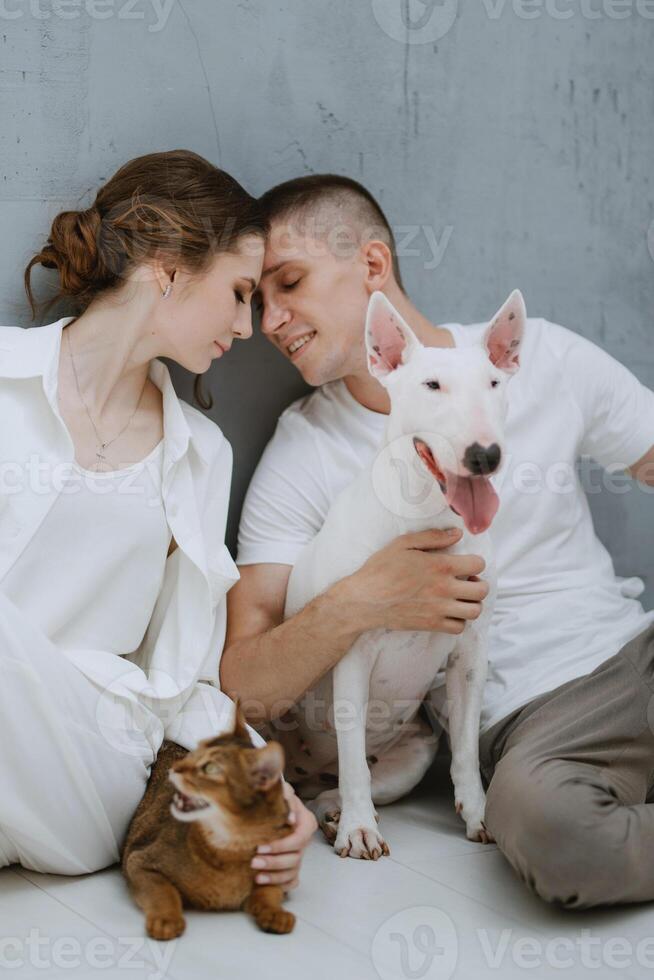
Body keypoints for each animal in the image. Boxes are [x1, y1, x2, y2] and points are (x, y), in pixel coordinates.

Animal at [121, 700, 296, 936]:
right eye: (195, 753)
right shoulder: (139, 860)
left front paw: (275, 914)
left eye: (210, 768)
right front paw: (166, 919)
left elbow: (268, 891)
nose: (175, 768)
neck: (231, 847)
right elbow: (164, 892)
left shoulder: (275, 869)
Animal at [278, 286, 528, 856]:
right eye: (431, 385)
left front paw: (479, 814)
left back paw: (331, 813)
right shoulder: (351, 654)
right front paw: (359, 831)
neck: (427, 516)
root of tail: (308, 773)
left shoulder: (469, 655)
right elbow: (353, 760)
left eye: (494, 383)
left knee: (328, 794)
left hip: (411, 757)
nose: (485, 455)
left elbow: (464, 751)